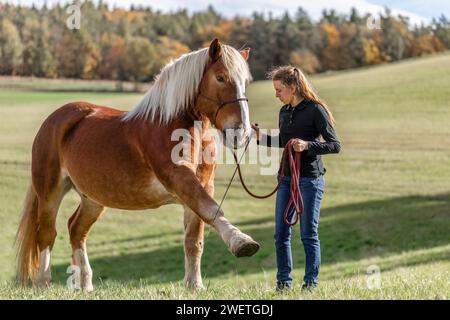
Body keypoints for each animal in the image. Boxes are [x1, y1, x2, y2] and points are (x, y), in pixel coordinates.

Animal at [15, 38, 260, 292]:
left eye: (245, 82)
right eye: (220, 77)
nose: (241, 133)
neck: (174, 127)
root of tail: (54, 119)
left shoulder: (203, 186)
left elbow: (194, 240)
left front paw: (195, 285)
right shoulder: (179, 178)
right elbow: (212, 210)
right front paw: (242, 242)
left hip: (92, 198)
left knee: (76, 229)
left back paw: (86, 285)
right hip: (49, 192)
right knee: (46, 234)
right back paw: (43, 283)